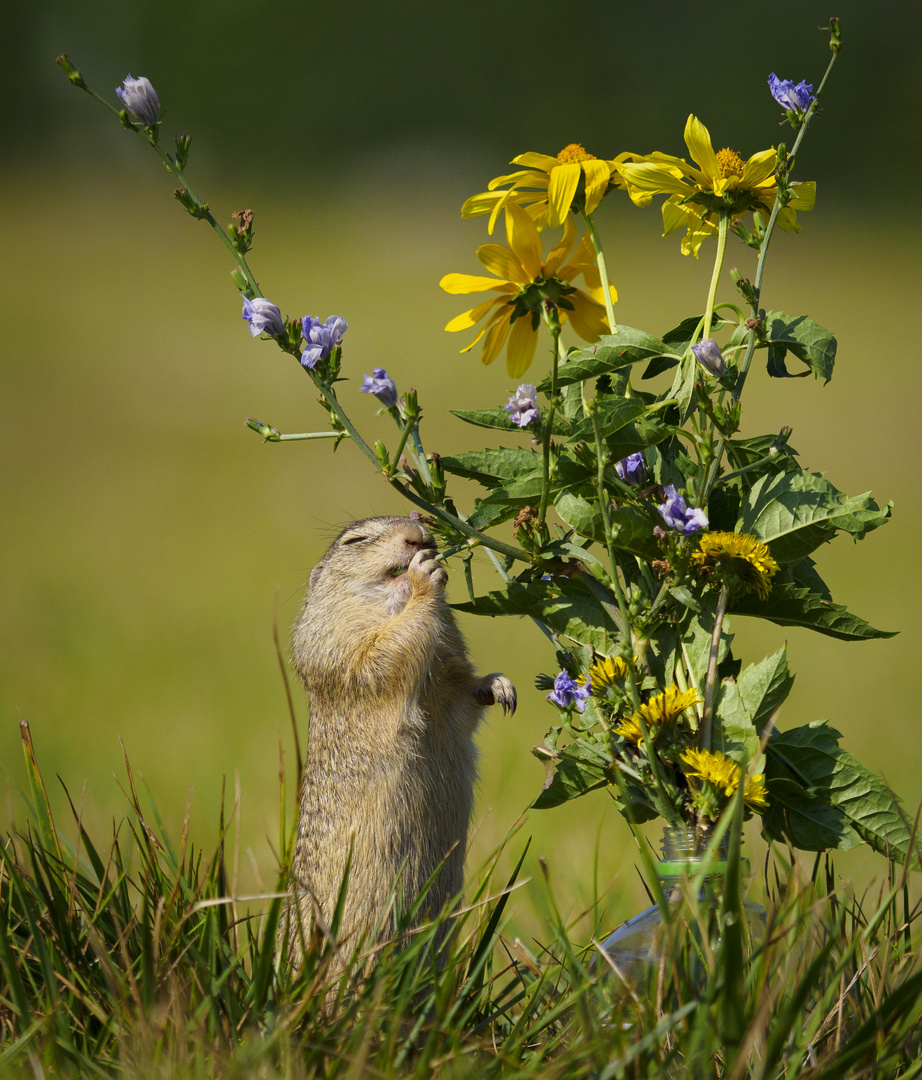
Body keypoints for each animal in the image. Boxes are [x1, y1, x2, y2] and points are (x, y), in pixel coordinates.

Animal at [285, 516, 516, 972]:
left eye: (419, 521)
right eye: (354, 540)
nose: (418, 533)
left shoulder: (448, 681)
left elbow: (464, 697)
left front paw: (499, 687)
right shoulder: (342, 653)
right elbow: (385, 655)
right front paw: (424, 577)